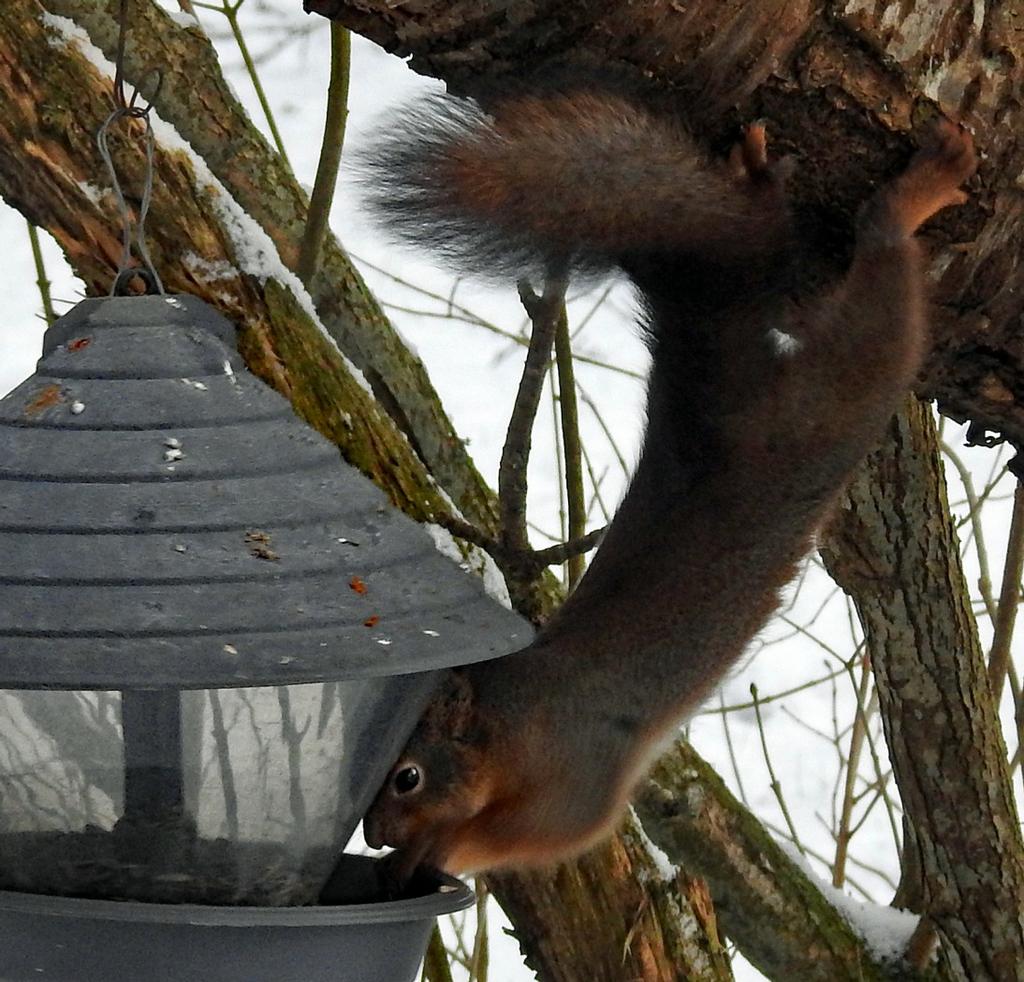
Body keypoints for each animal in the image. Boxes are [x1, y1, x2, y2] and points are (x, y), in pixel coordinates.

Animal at [360, 84, 974, 880]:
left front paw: (433, 852)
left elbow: (531, 837)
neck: (513, 718)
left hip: (833, 405)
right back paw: (756, 178)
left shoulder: (573, 783)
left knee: (881, 314)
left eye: (408, 777)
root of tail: (709, 388)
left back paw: (910, 198)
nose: (373, 833)